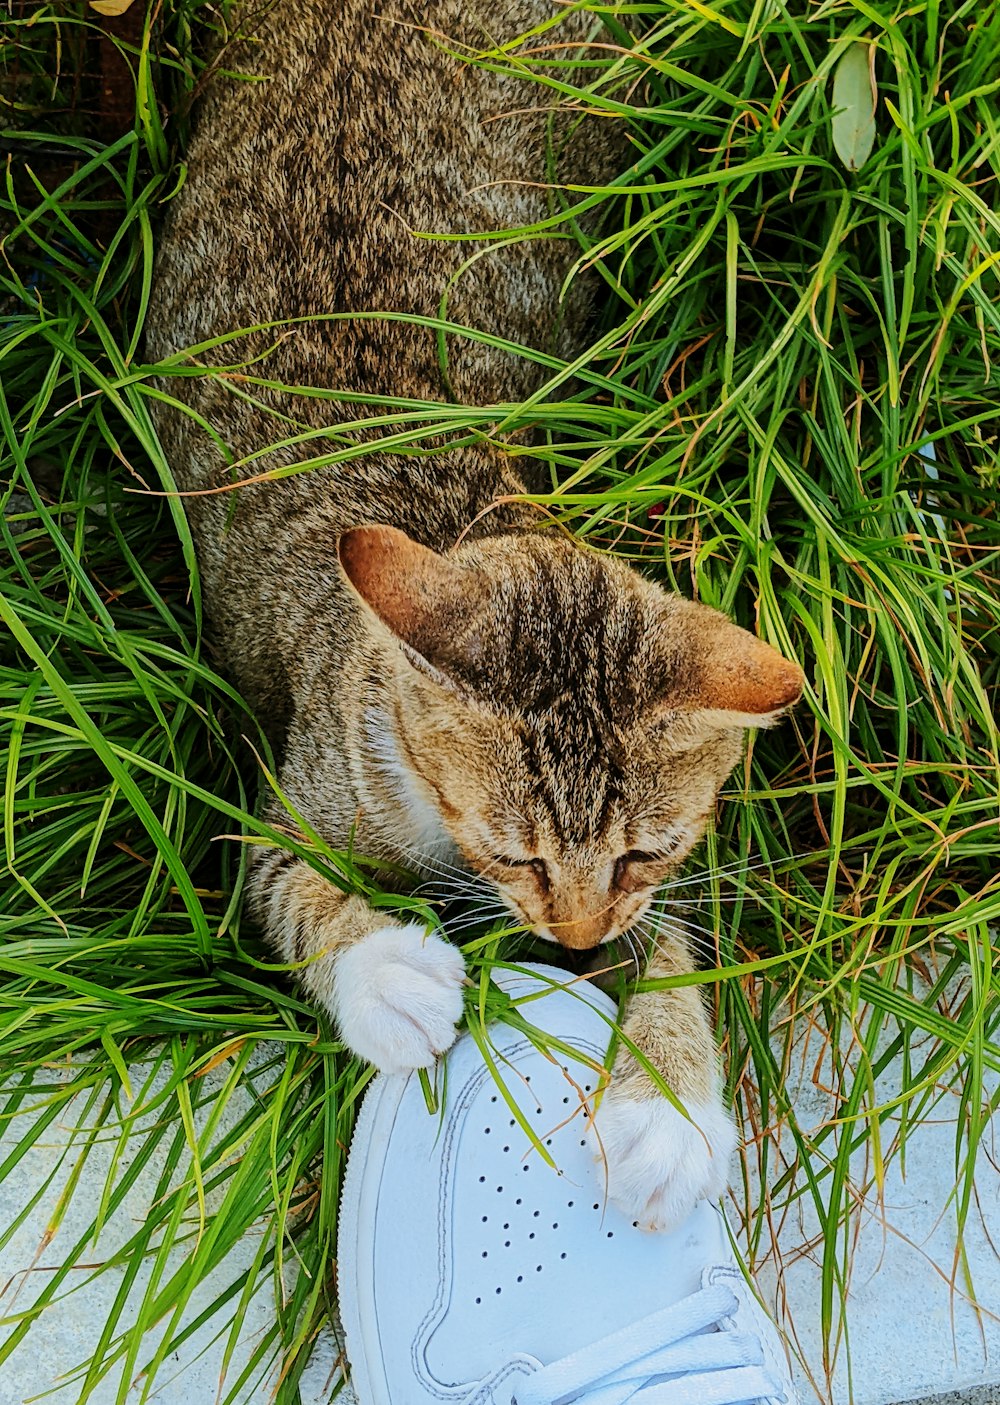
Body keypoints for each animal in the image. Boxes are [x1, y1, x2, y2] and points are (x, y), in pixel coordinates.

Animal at [148, 0, 803, 1230]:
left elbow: (677, 932)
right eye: (513, 853)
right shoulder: (290, 793)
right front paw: (379, 970)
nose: (573, 940)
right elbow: (284, 886)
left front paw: (668, 1096)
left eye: (643, 852)